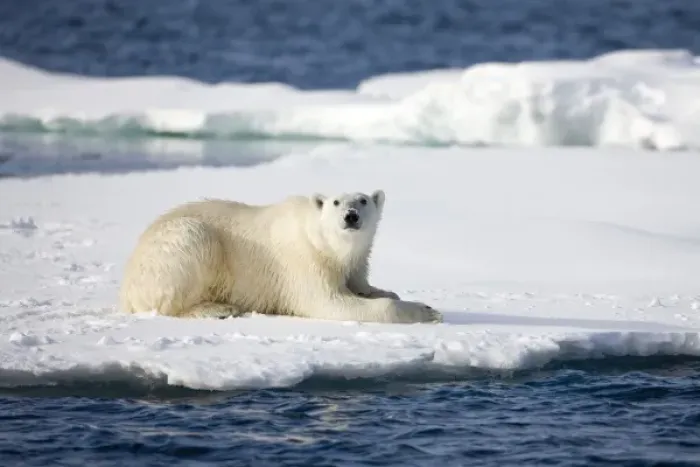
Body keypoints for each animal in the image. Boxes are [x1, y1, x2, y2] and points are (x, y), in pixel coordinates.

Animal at [119, 190, 443, 324]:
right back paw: (217, 308)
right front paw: (428, 310)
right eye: (336, 202)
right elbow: (329, 302)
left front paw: (384, 291)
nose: (351, 216)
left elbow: (362, 285)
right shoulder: (305, 262)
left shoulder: (353, 263)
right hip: (178, 246)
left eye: (363, 200)